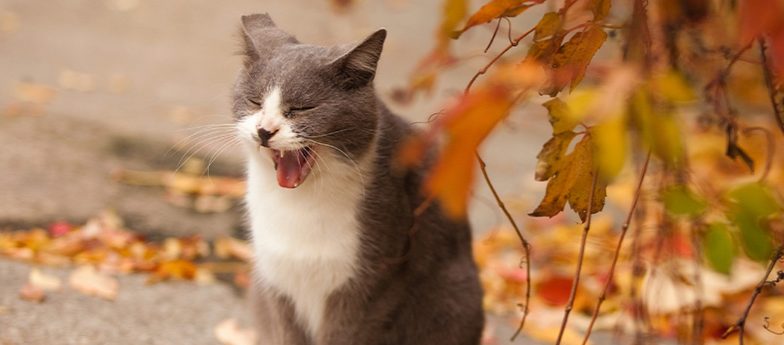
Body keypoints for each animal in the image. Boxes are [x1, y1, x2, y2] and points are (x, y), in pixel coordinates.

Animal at [230, 13, 480, 344]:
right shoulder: (276, 282)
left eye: (302, 108)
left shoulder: (370, 283)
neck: (298, 204)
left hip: (453, 297)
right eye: (254, 102)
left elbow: (348, 332)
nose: (264, 131)